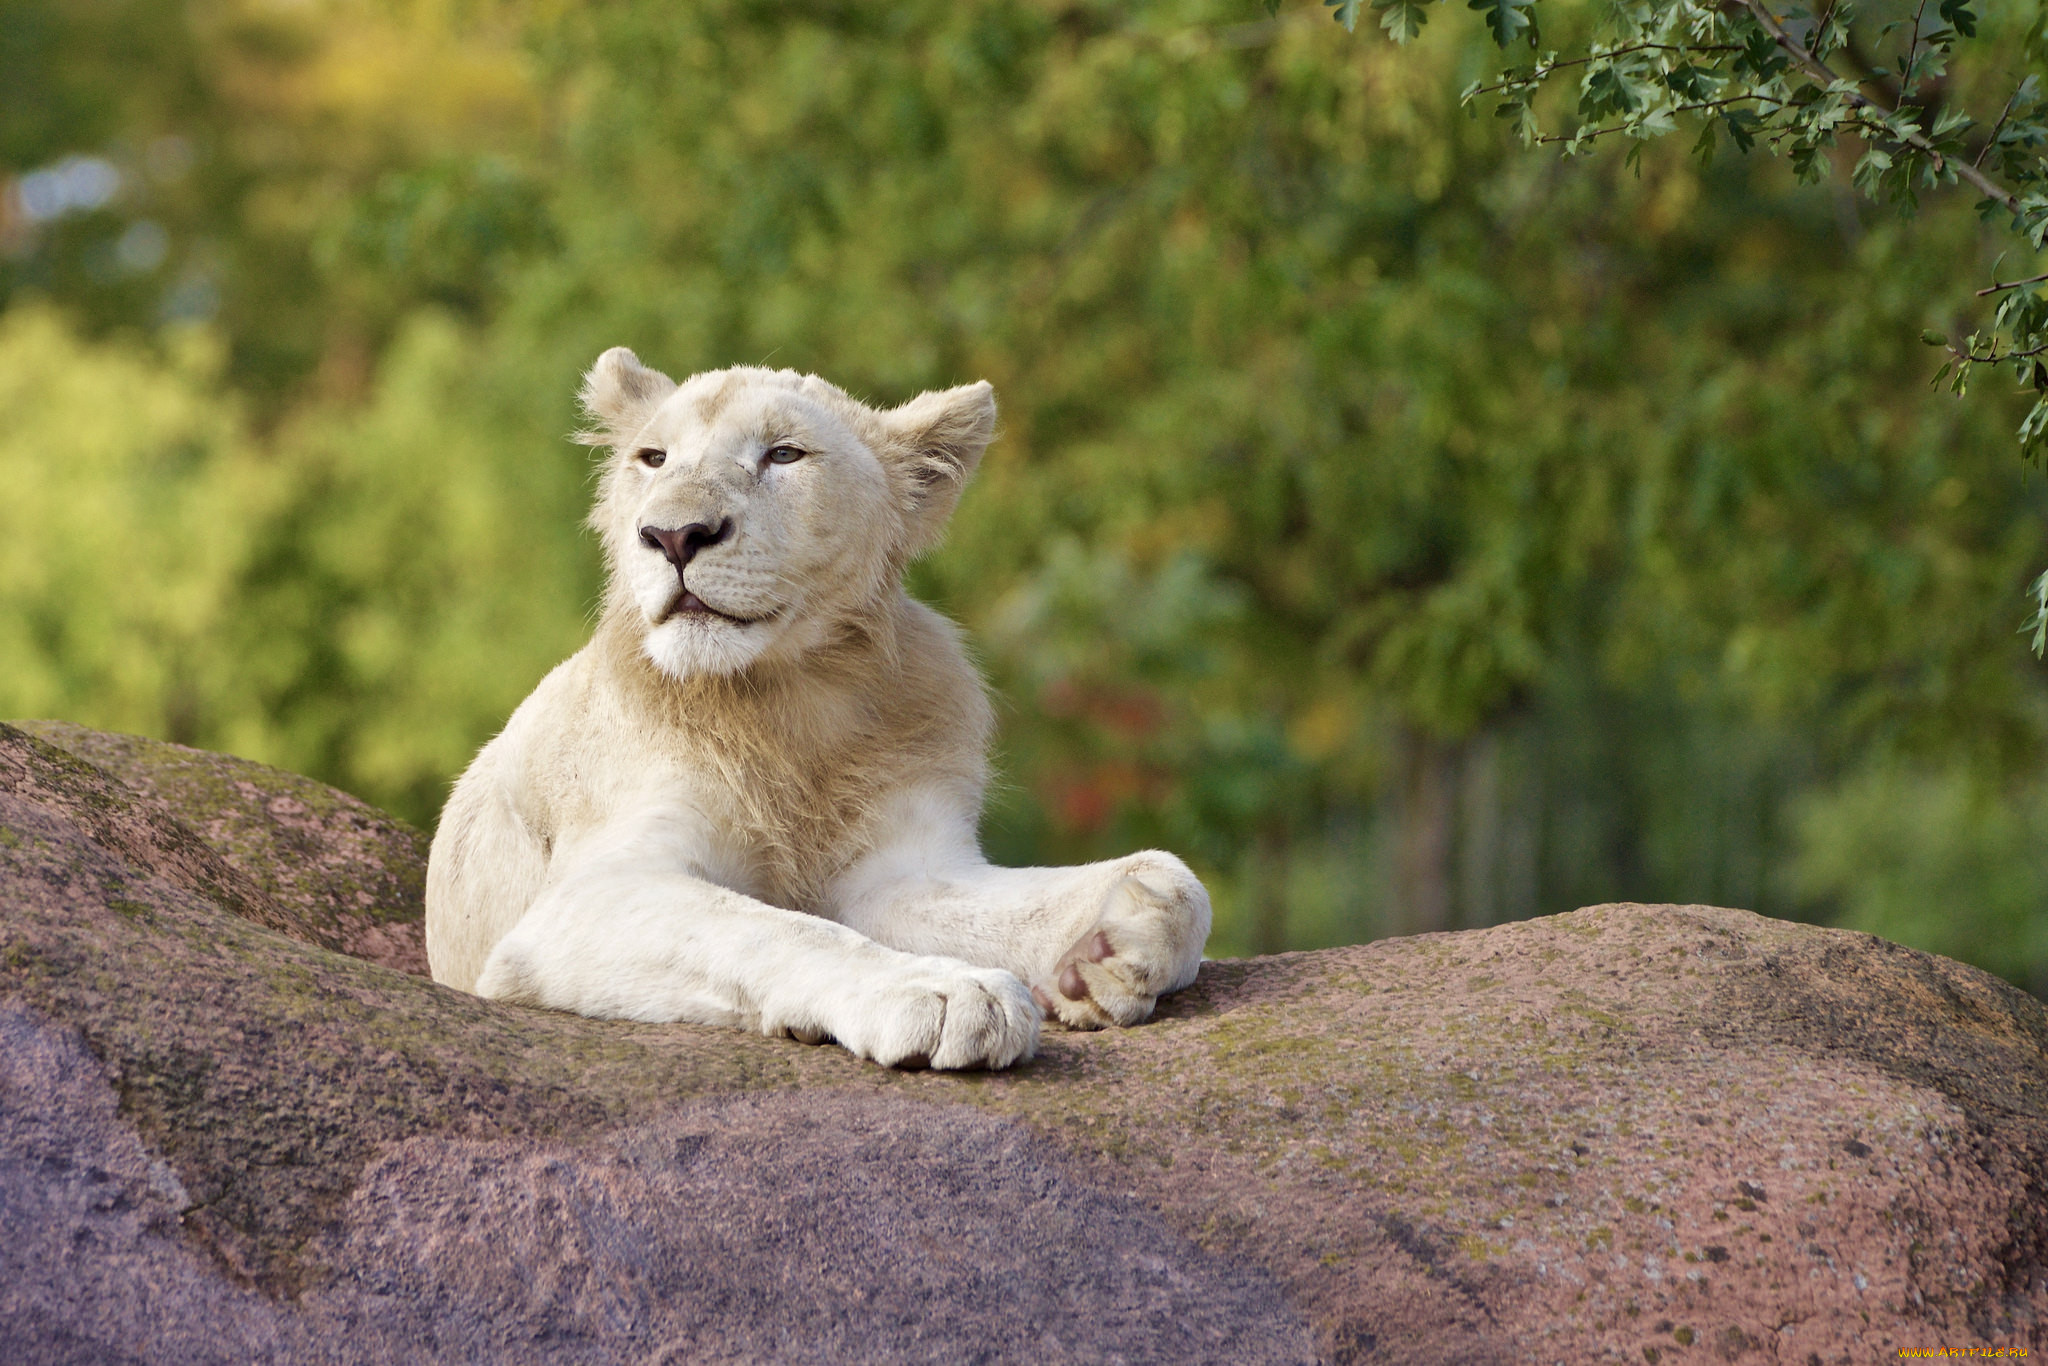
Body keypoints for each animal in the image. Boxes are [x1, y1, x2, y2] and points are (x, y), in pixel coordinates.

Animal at [421, 350, 1204, 1064]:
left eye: (784, 454)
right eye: (653, 458)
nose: (673, 536)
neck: (790, 699)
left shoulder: (901, 871)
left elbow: (1174, 882)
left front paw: (1104, 955)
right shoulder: (579, 899)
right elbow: (773, 926)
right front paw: (947, 992)